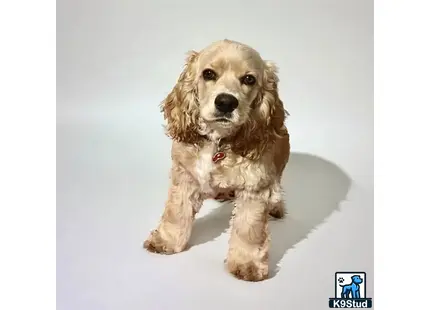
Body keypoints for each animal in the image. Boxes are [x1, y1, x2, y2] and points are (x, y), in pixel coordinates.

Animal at [143, 38, 290, 280]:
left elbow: (249, 229)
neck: (217, 142)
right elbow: (175, 212)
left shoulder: (255, 186)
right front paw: (166, 241)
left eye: (249, 79)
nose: (226, 102)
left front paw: (247, 264)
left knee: (277, 187)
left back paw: (275, 207)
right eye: (208, 74)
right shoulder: (185, 176)